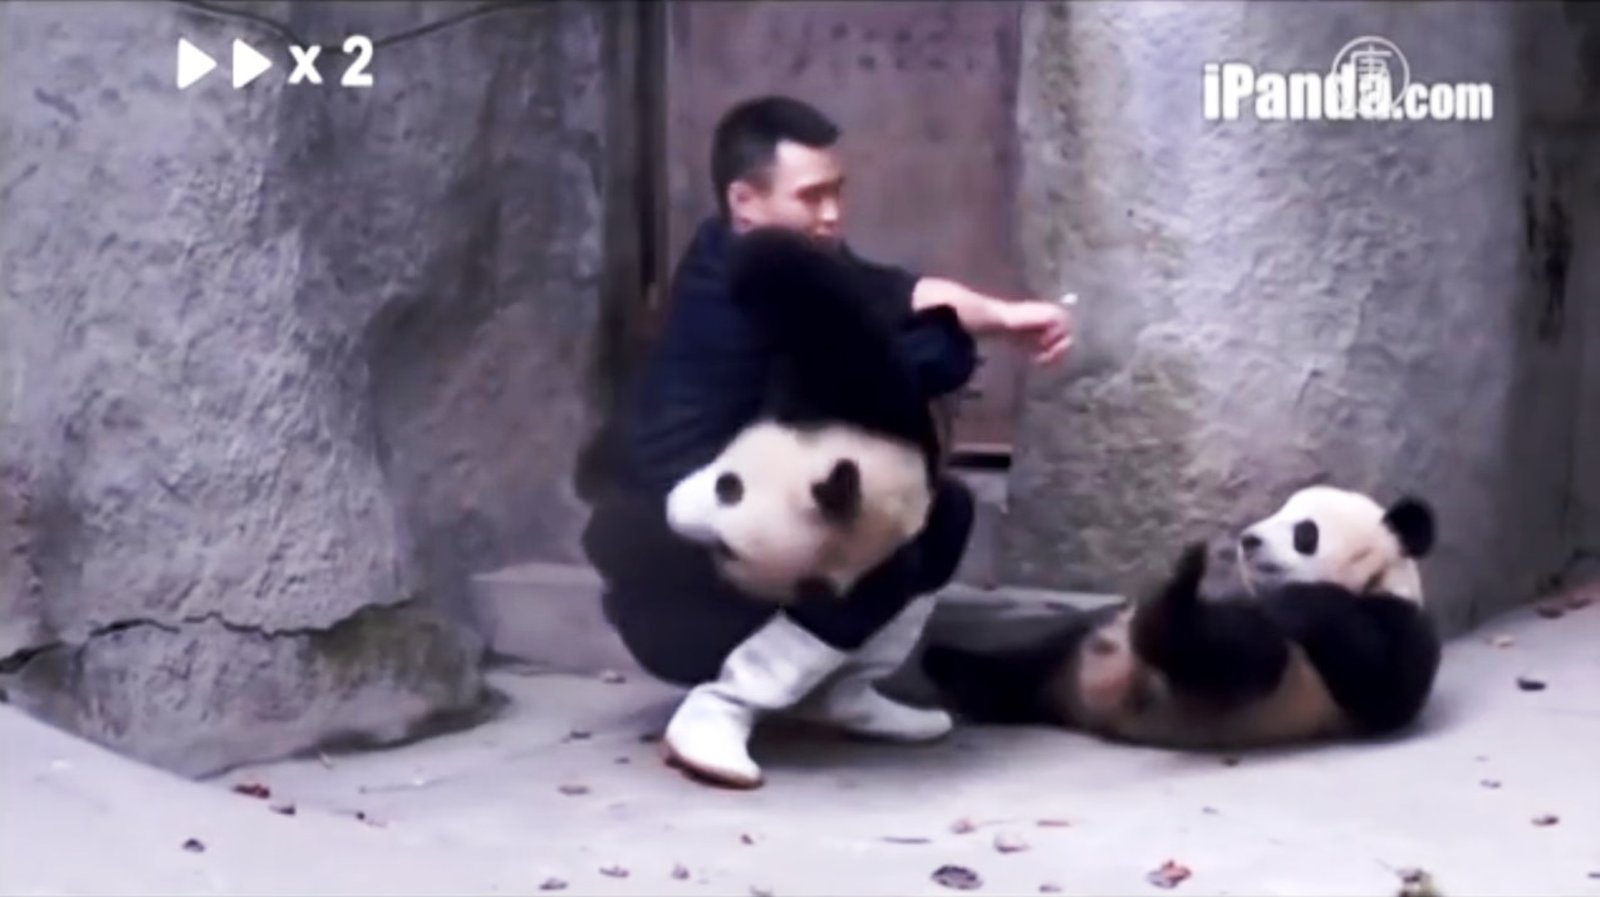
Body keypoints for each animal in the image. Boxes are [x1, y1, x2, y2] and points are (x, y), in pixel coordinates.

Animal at [920, 485, 1443, 751]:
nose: (1249, 540)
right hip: (1077, 644)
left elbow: (1379, 683)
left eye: (1305, 532)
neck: (1375, 577)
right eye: (1277, 510)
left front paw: (1296, 601)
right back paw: (949, 665)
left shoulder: (1400, 624)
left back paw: (1168, 607)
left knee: (1238, 652)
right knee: (1026, 663)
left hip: (1236, 691)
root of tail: (1100, 696)